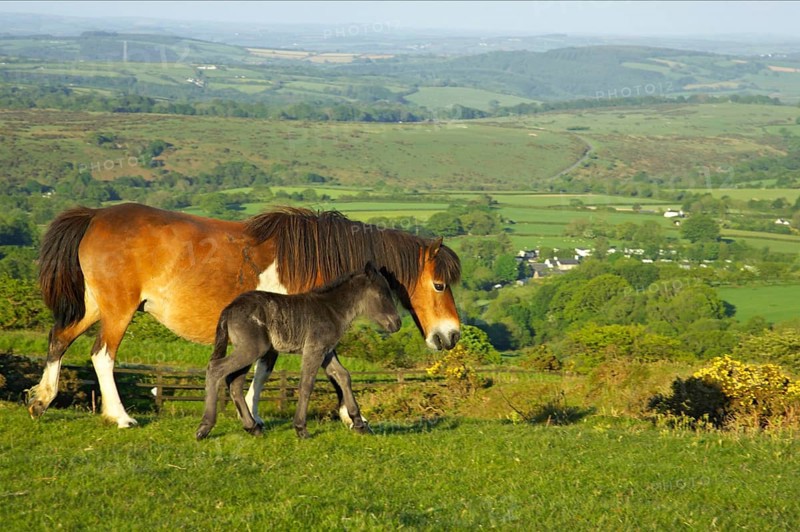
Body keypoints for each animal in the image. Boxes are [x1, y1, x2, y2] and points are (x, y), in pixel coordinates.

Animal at [196, 262, 401, 440]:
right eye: (383, 295)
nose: (397, 324)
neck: (332, 309)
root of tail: (229, 308)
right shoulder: (314, 350)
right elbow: (306, 384)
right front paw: (301, 428)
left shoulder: (326, 352)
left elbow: (343, 376)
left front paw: (359, 423)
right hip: (252, 349)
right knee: (216, 368)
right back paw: (205, 428)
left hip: (248, 350)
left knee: (234, 382)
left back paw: (252, 427)